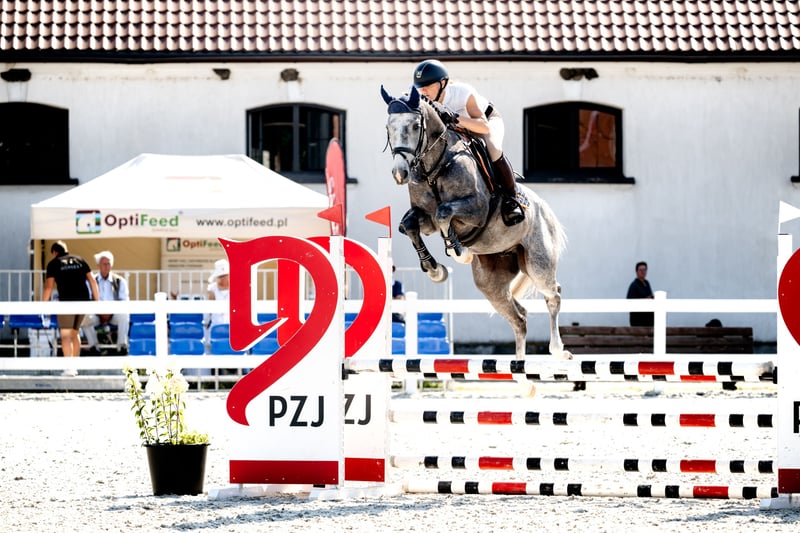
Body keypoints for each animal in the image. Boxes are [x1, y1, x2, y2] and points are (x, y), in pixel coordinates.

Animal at [381, 85, 571, 360]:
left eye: (416, 125)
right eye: (389, 127)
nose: (400, 173)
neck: (434, 168)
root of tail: (544, 207)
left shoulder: (477, 210)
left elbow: (444, 212)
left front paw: (458, 251)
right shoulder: (424, 218)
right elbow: (409, 224)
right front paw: (435, 269)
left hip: (538, 263)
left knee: (553, 294)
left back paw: (558, 350)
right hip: (490, 282)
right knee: (519, 318)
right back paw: (519, 365)